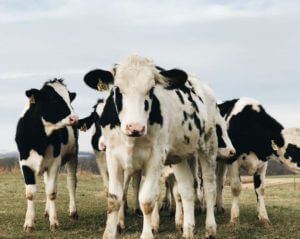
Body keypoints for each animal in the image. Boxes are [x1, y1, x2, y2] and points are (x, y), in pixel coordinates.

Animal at [15, 79, 79, 232]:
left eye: (69, 99)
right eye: (54, 99)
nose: (75, 118)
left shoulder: (54, 163)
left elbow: (51, 192)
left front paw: (54, 222)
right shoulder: (24, 163)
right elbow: (31, 193)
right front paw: (29, 223)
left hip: (73, 156)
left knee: (71, 183)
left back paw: (73, 211)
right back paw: (47, 211)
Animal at [83, 54, 221, 239]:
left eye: (151, 90)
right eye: (117, 89)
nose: (135, 127)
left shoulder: (156, 157)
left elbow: (147, 200)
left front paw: (148, 233)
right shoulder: (112, 155)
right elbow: (114, 198)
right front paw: (110, 233)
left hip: (208, 145)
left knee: (209, 186)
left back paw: (210, 228)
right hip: (180, 155)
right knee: (186, 190)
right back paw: (188, 229)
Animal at [216, 98, 300, 227]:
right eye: (292, 149)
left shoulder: (262, 164)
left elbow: (260, 189)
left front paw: (263, 217)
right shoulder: (232, 161)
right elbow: (236, 188)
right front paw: (234, 218)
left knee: (220, 181)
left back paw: (219, 207)